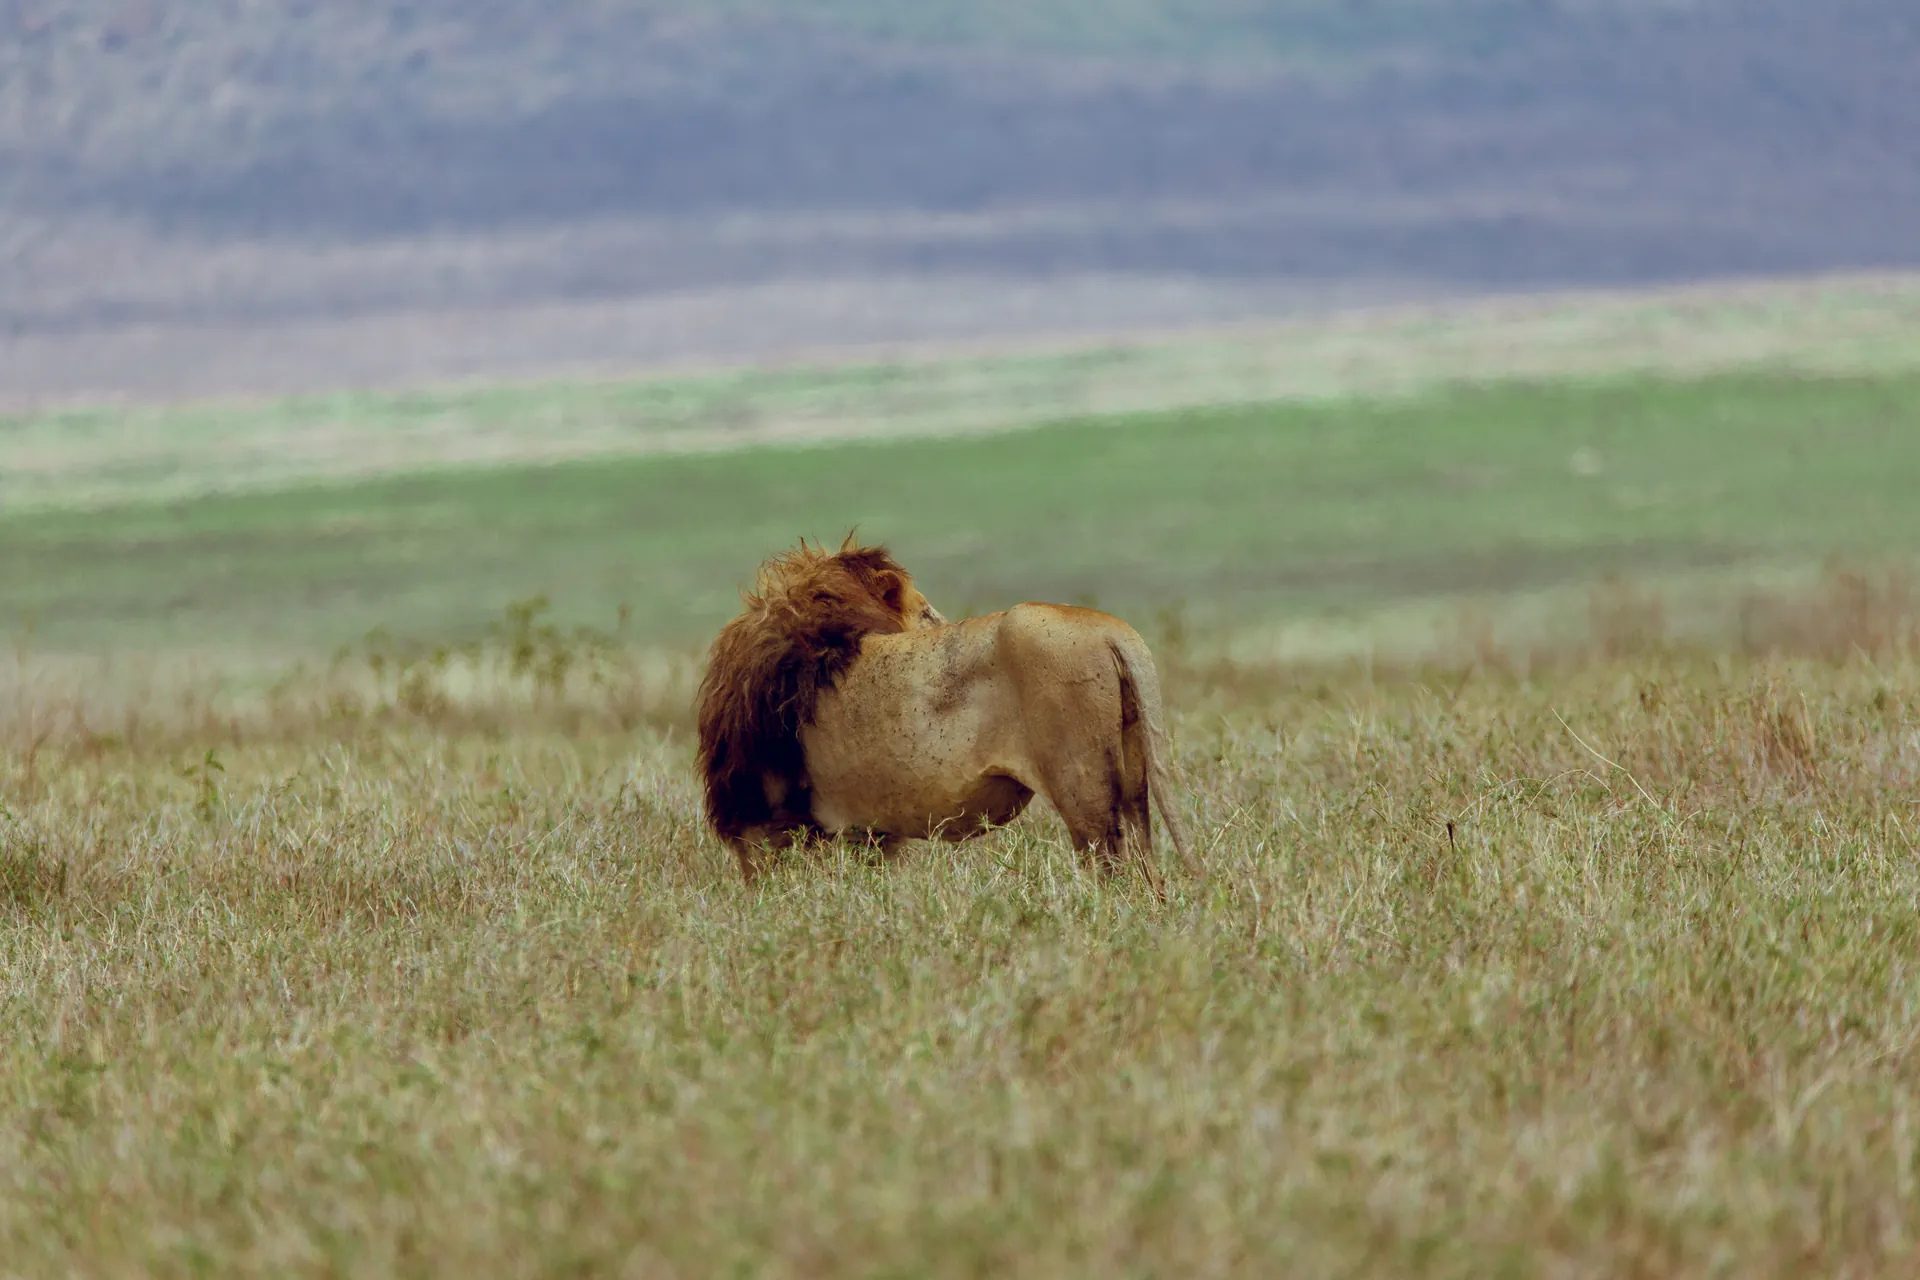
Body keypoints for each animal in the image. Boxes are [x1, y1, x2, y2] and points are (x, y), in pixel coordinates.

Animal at [694, 535, 1193, 887]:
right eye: (926, 613)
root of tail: (1111, 629)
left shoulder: (768, 825)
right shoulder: (866, 833)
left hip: (1084, 789)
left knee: (1114, 871)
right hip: (1131, 780)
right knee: (1147, 868)